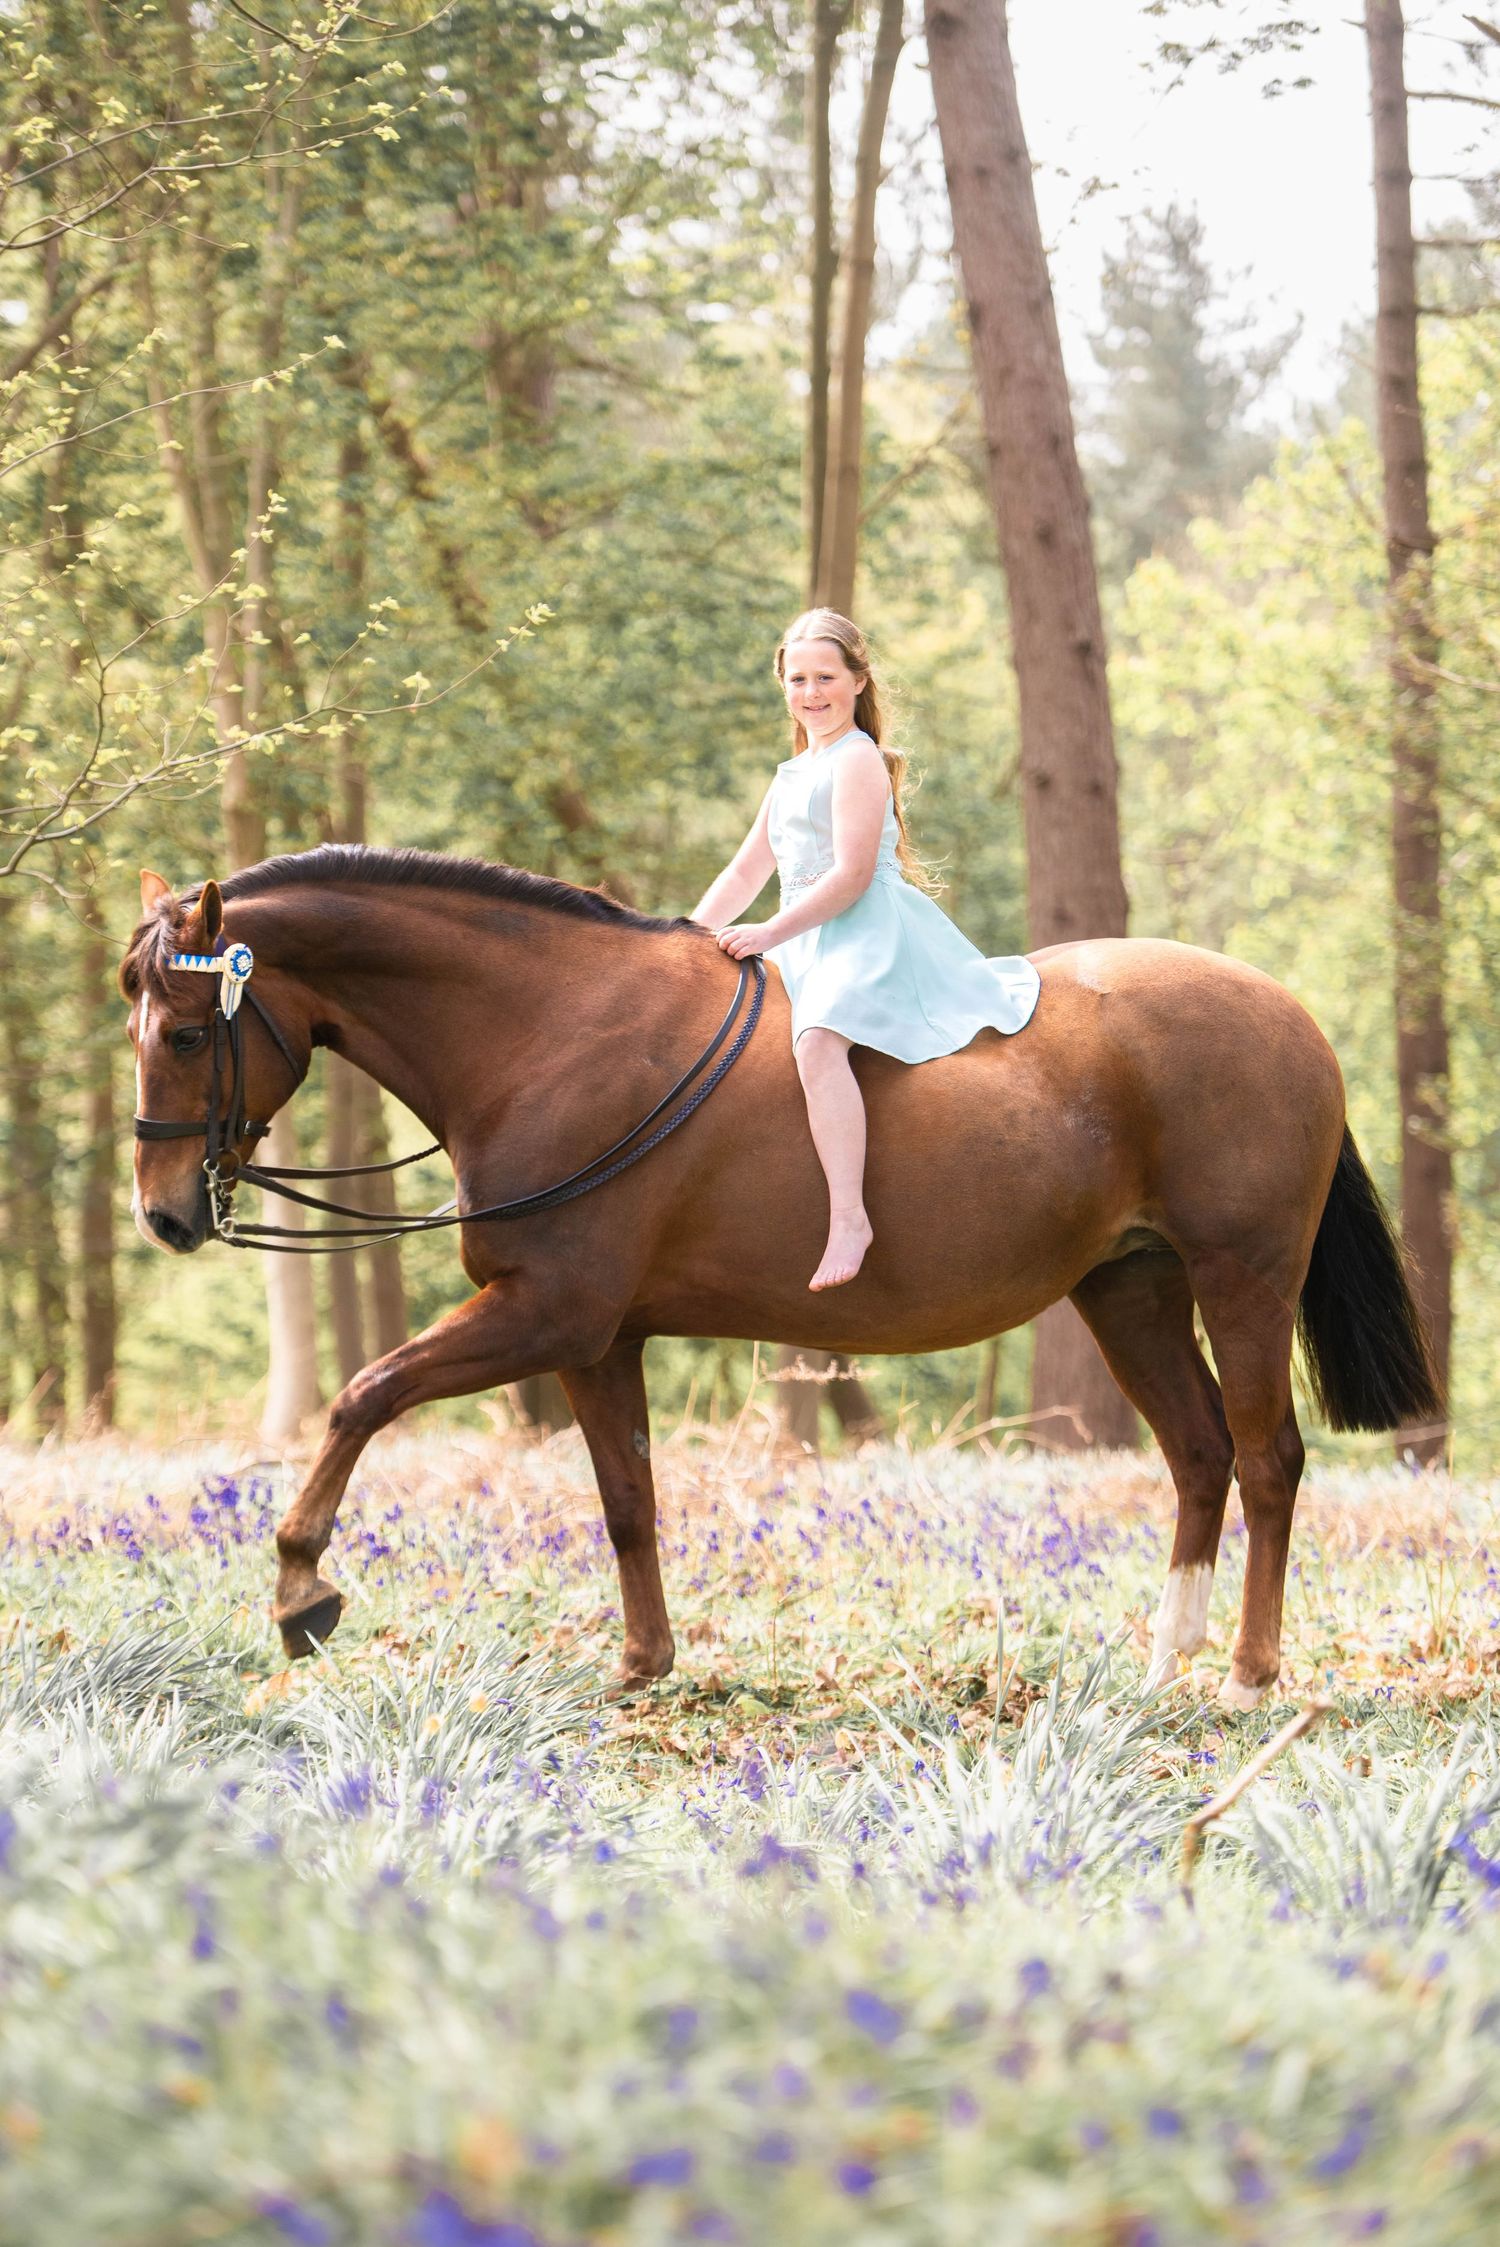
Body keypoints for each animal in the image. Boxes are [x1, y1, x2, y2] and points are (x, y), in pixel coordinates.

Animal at [121, 845, 1440, 1710]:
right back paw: (1168, 1666)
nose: (168, 1214)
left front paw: (300, 1587)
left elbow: (365, 1396)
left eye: (186, 1032)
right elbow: (627, 1501)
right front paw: (643, 1668)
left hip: (1240, 1276)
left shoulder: (546, 1316)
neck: (554, 1032)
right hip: (1133, 1291)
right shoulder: (599, 1340)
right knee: (1201, 1456)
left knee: (1268, 1461)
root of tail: (1287, 1011)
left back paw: (1247, 1677)